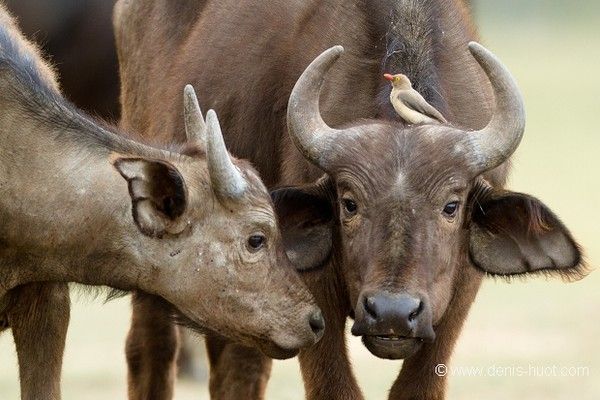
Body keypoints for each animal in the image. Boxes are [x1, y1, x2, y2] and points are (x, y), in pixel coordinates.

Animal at [113, 1, 584, 398]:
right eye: (349, 203)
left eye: (452, 206)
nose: (392, 313)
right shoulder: (309, 289)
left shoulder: (457, 296)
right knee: (151, 347)